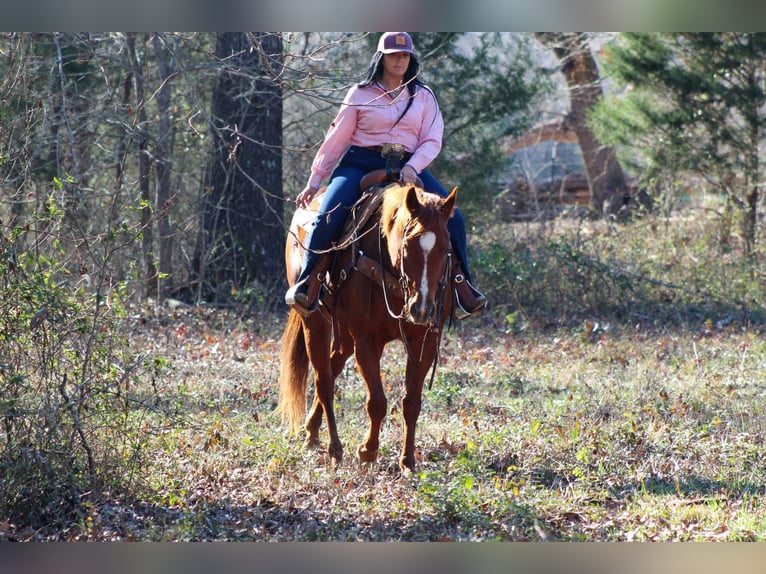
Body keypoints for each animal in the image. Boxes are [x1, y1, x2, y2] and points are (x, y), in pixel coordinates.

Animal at [280, 183, 460, 472]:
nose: (422, 308)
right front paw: (368, 451)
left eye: (446, 249)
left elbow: (412, 402)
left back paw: (312, 431)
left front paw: (408, 461)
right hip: (315, 321)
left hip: (344, 333)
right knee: (324, 381)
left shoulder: (425, 342)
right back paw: (334, 449)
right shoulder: (366, 340)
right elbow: (376, 402)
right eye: (408, 246)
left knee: (334, 365)